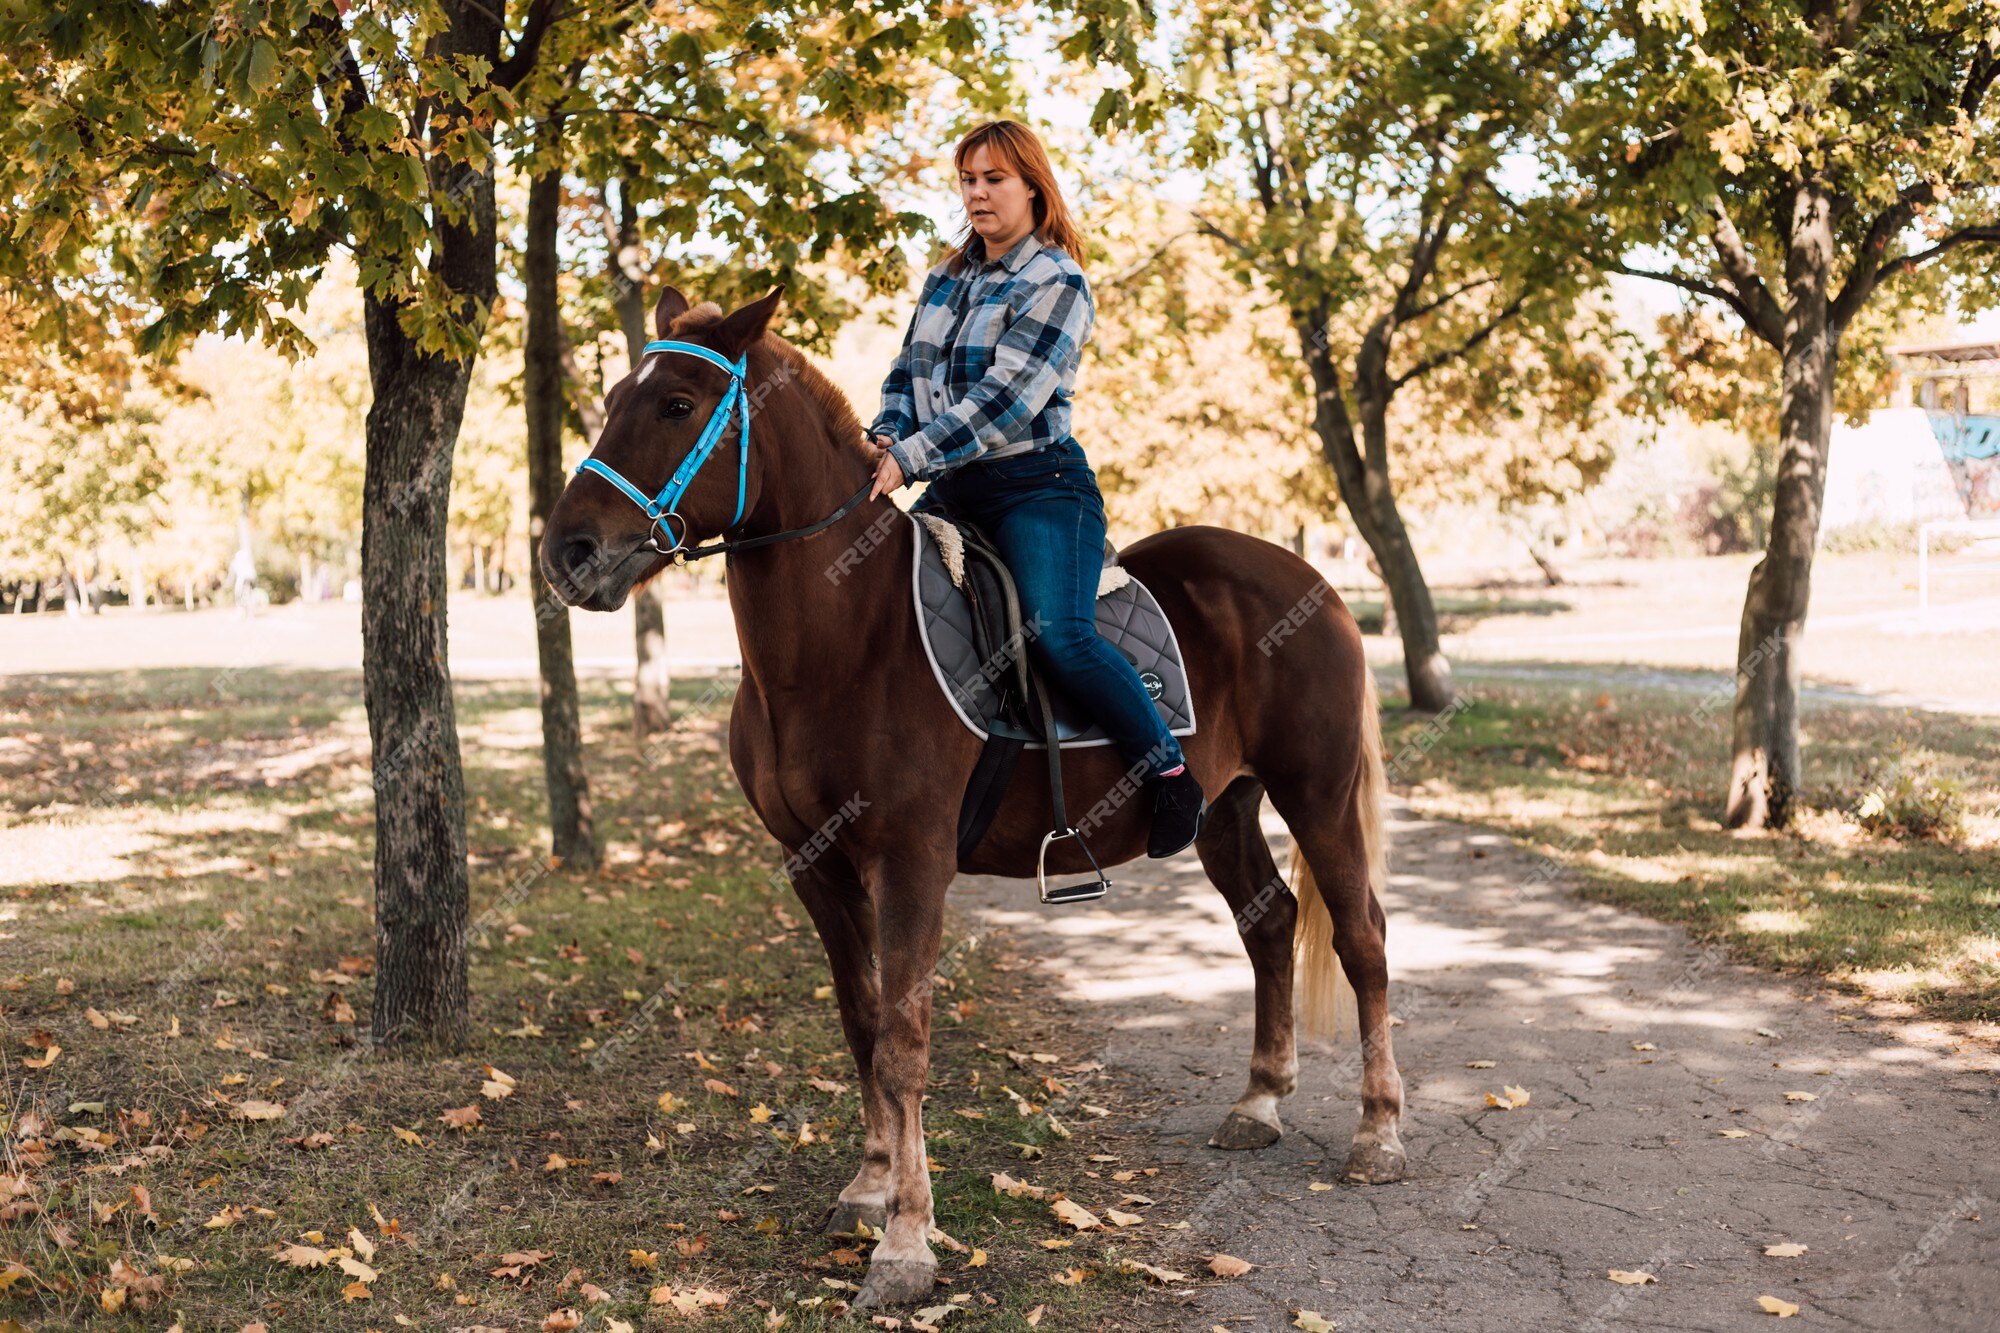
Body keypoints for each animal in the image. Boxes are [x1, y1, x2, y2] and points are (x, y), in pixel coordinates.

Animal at [540, 286, 1400, 1304]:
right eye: (607, 399)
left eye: (677, 404)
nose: (568, 553)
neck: (847, 634)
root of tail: (1317, 584)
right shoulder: (814, 864)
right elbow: (862, 1021)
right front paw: (868, 1189)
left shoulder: (911, 862)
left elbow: (905, 1039)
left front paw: (907, 1241)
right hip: (1225, 807)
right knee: (1269, 923)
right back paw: (1260, 1101)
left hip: (1318, 792)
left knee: (1360, 938)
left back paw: (1379, 1131)